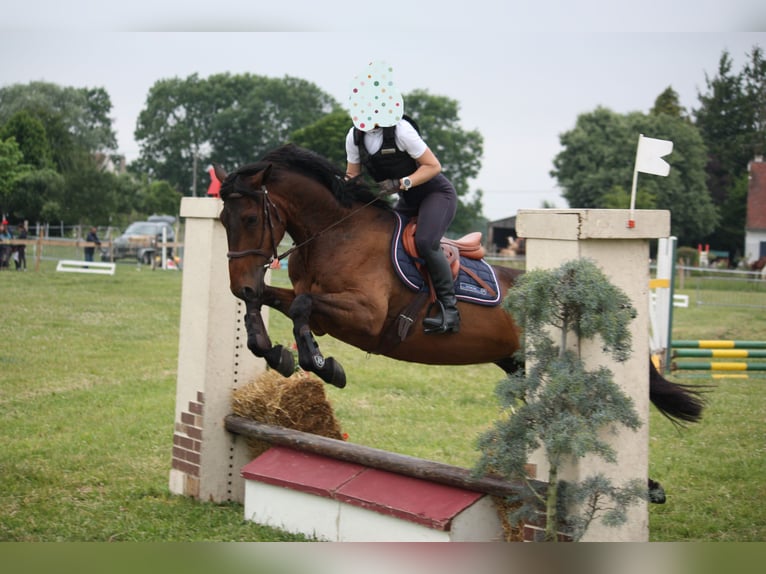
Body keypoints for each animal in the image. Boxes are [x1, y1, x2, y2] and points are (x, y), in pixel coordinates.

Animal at [214, 144, 704, 428]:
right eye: (222, 220)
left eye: (251, 218)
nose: (238, 285)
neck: (336, 232)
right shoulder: (318, 304)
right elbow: (275, 302)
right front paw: (272, 351)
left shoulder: (365, 317)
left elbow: (301, 308)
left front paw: (321, 363)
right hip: (518, 365)